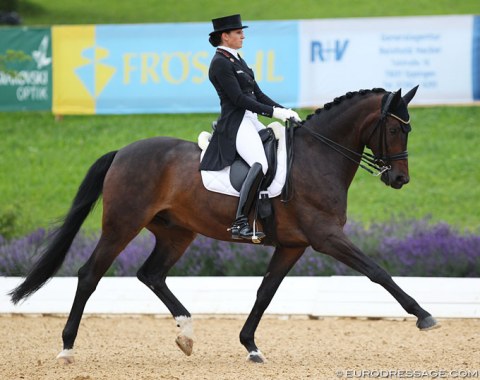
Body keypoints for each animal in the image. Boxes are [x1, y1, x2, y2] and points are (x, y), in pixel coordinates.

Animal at [9, 86, 436, 366]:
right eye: (395, 129)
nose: (399, 179)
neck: (318, 156)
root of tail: (122, 152)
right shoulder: (327, 237)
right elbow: (377, 272)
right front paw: (423, 315)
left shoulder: (293, 245)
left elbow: (265, 292)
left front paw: (251, 345)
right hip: (122, 225)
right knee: (89, 275)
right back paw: (67, 347)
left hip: (177, 232)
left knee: (151, 274)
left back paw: (186, 333)